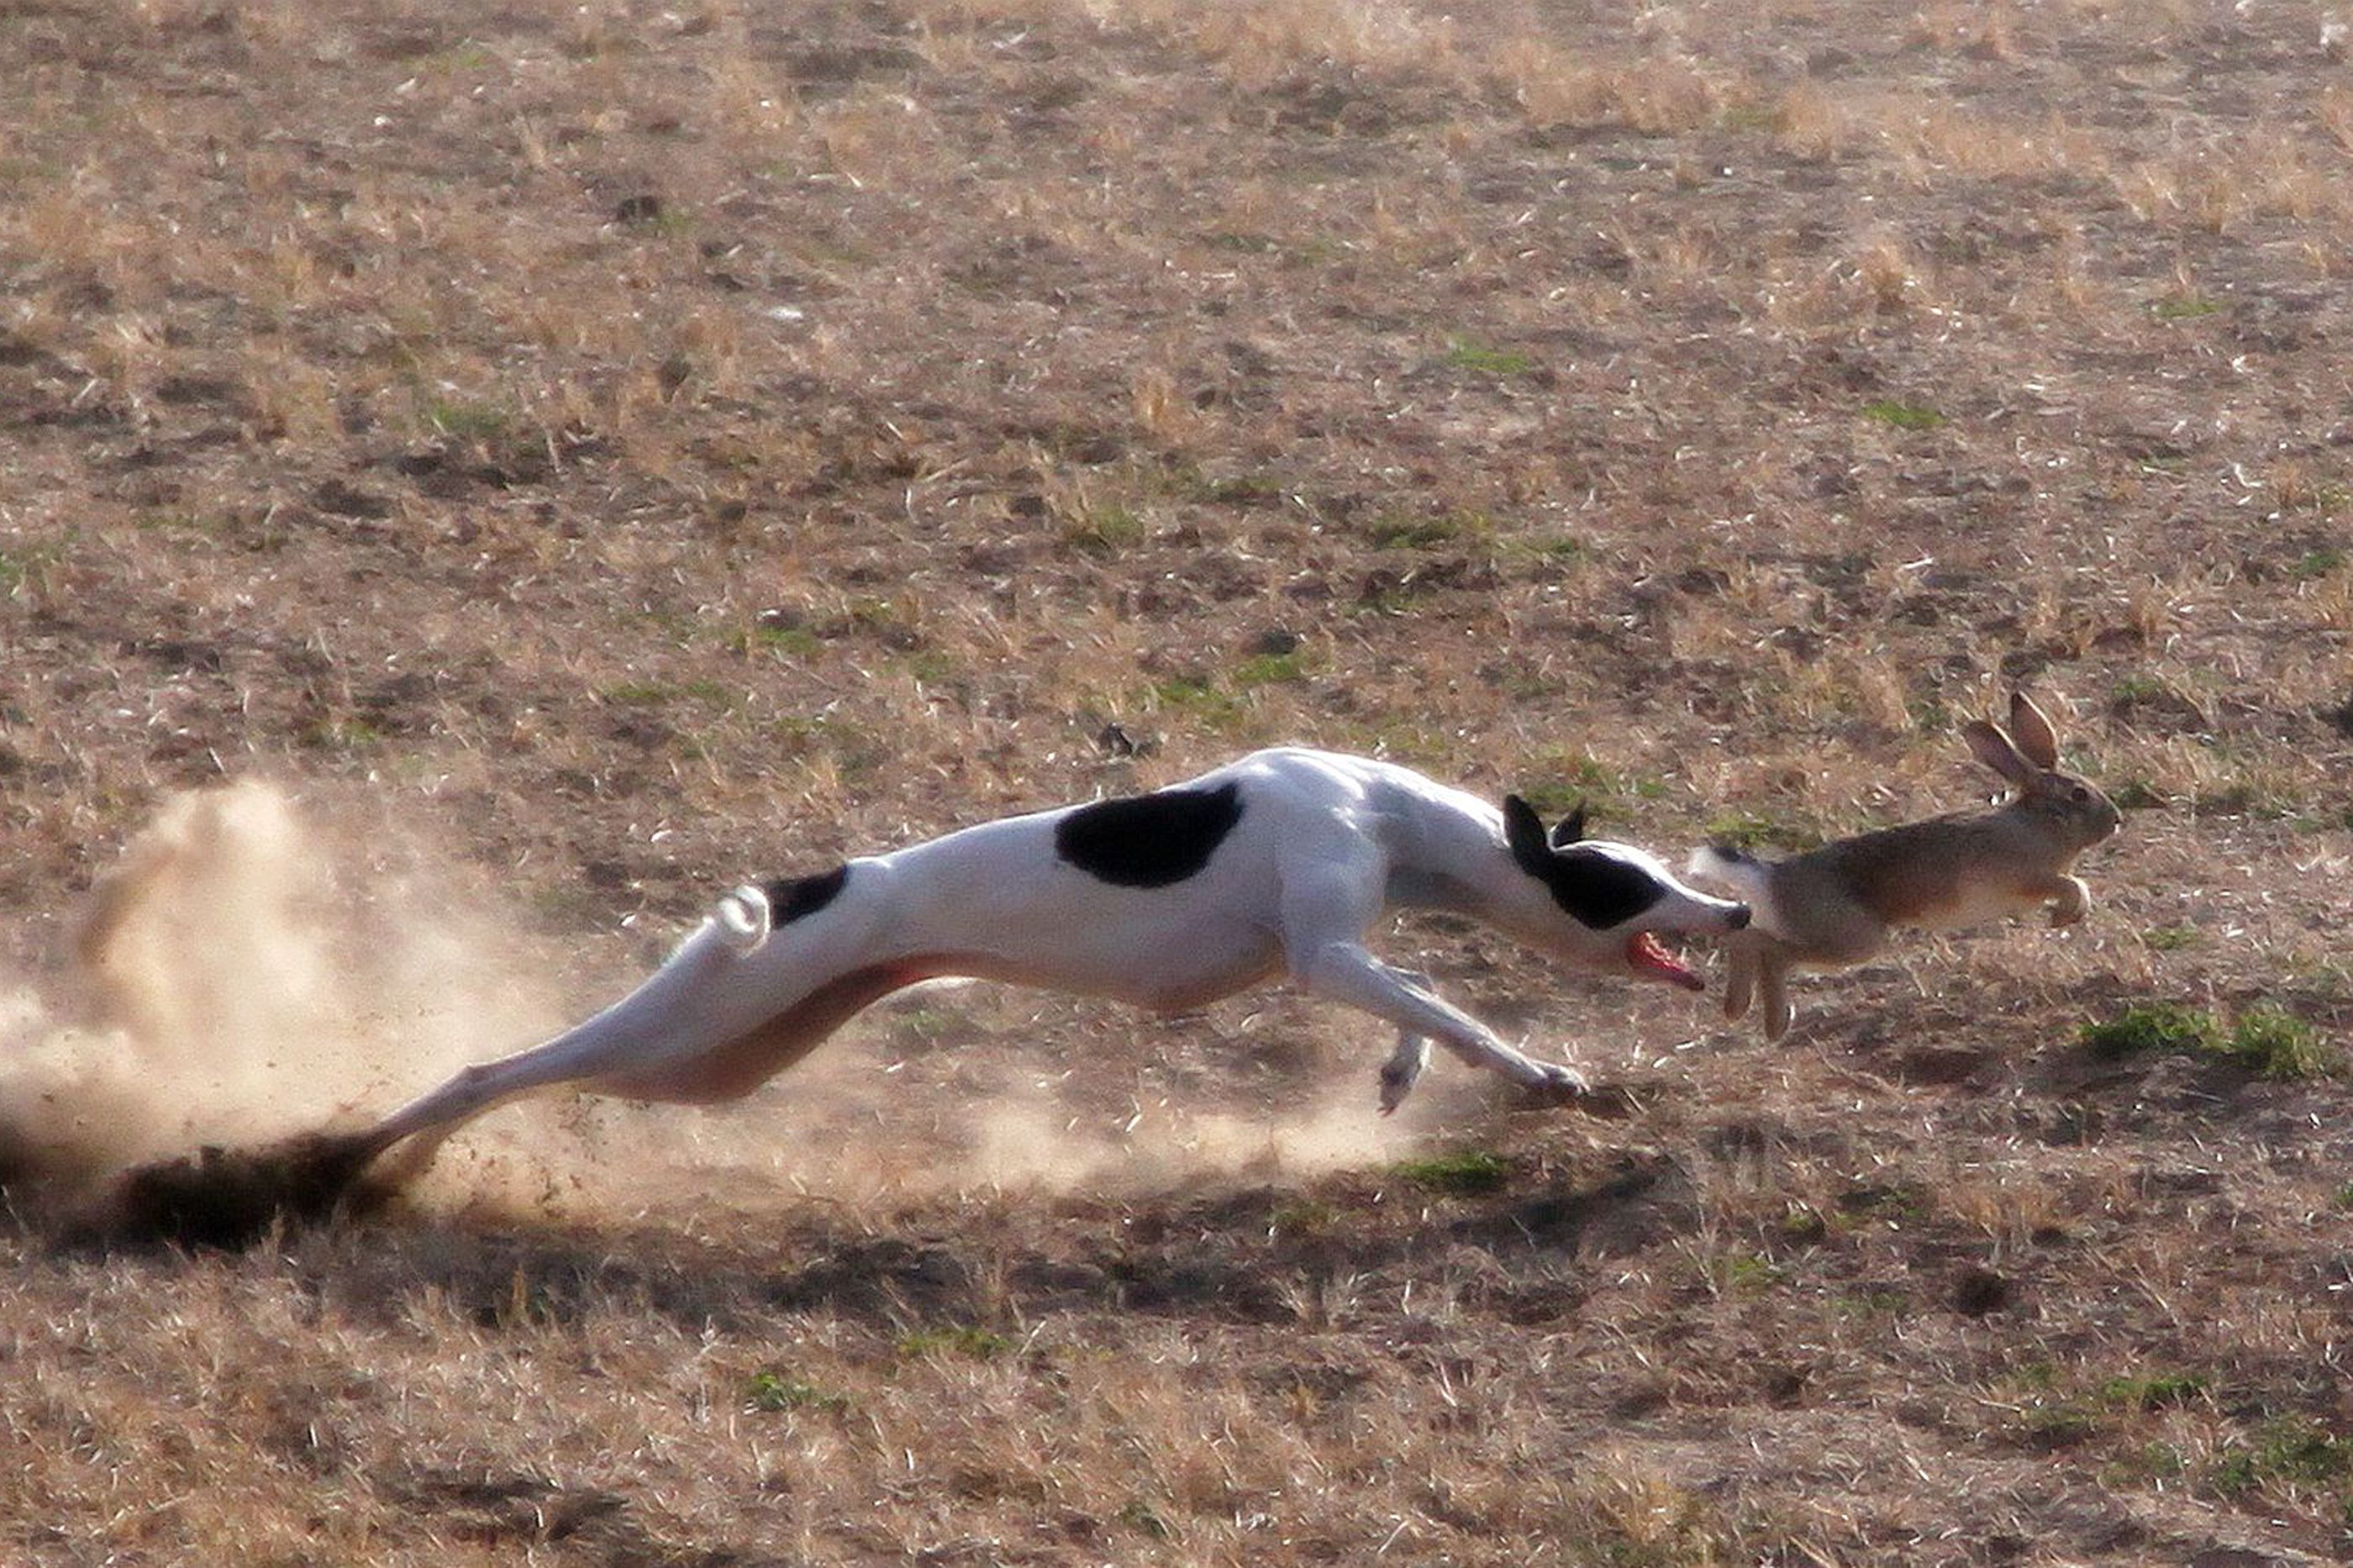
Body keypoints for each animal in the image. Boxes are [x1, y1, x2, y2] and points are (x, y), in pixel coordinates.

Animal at [343, 748, 1750, 1172]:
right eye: (1627, 883)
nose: (1734, 914)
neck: (1387, 805)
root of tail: (805, 889)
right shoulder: (1319, 951)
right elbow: (1456, 1007)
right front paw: (1547, 1078)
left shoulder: (1345, 946)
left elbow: (1418, 998)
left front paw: (1403, 1076)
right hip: (691, 1021)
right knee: (494, 1070)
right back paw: (358, 1156)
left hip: (724, 1056)